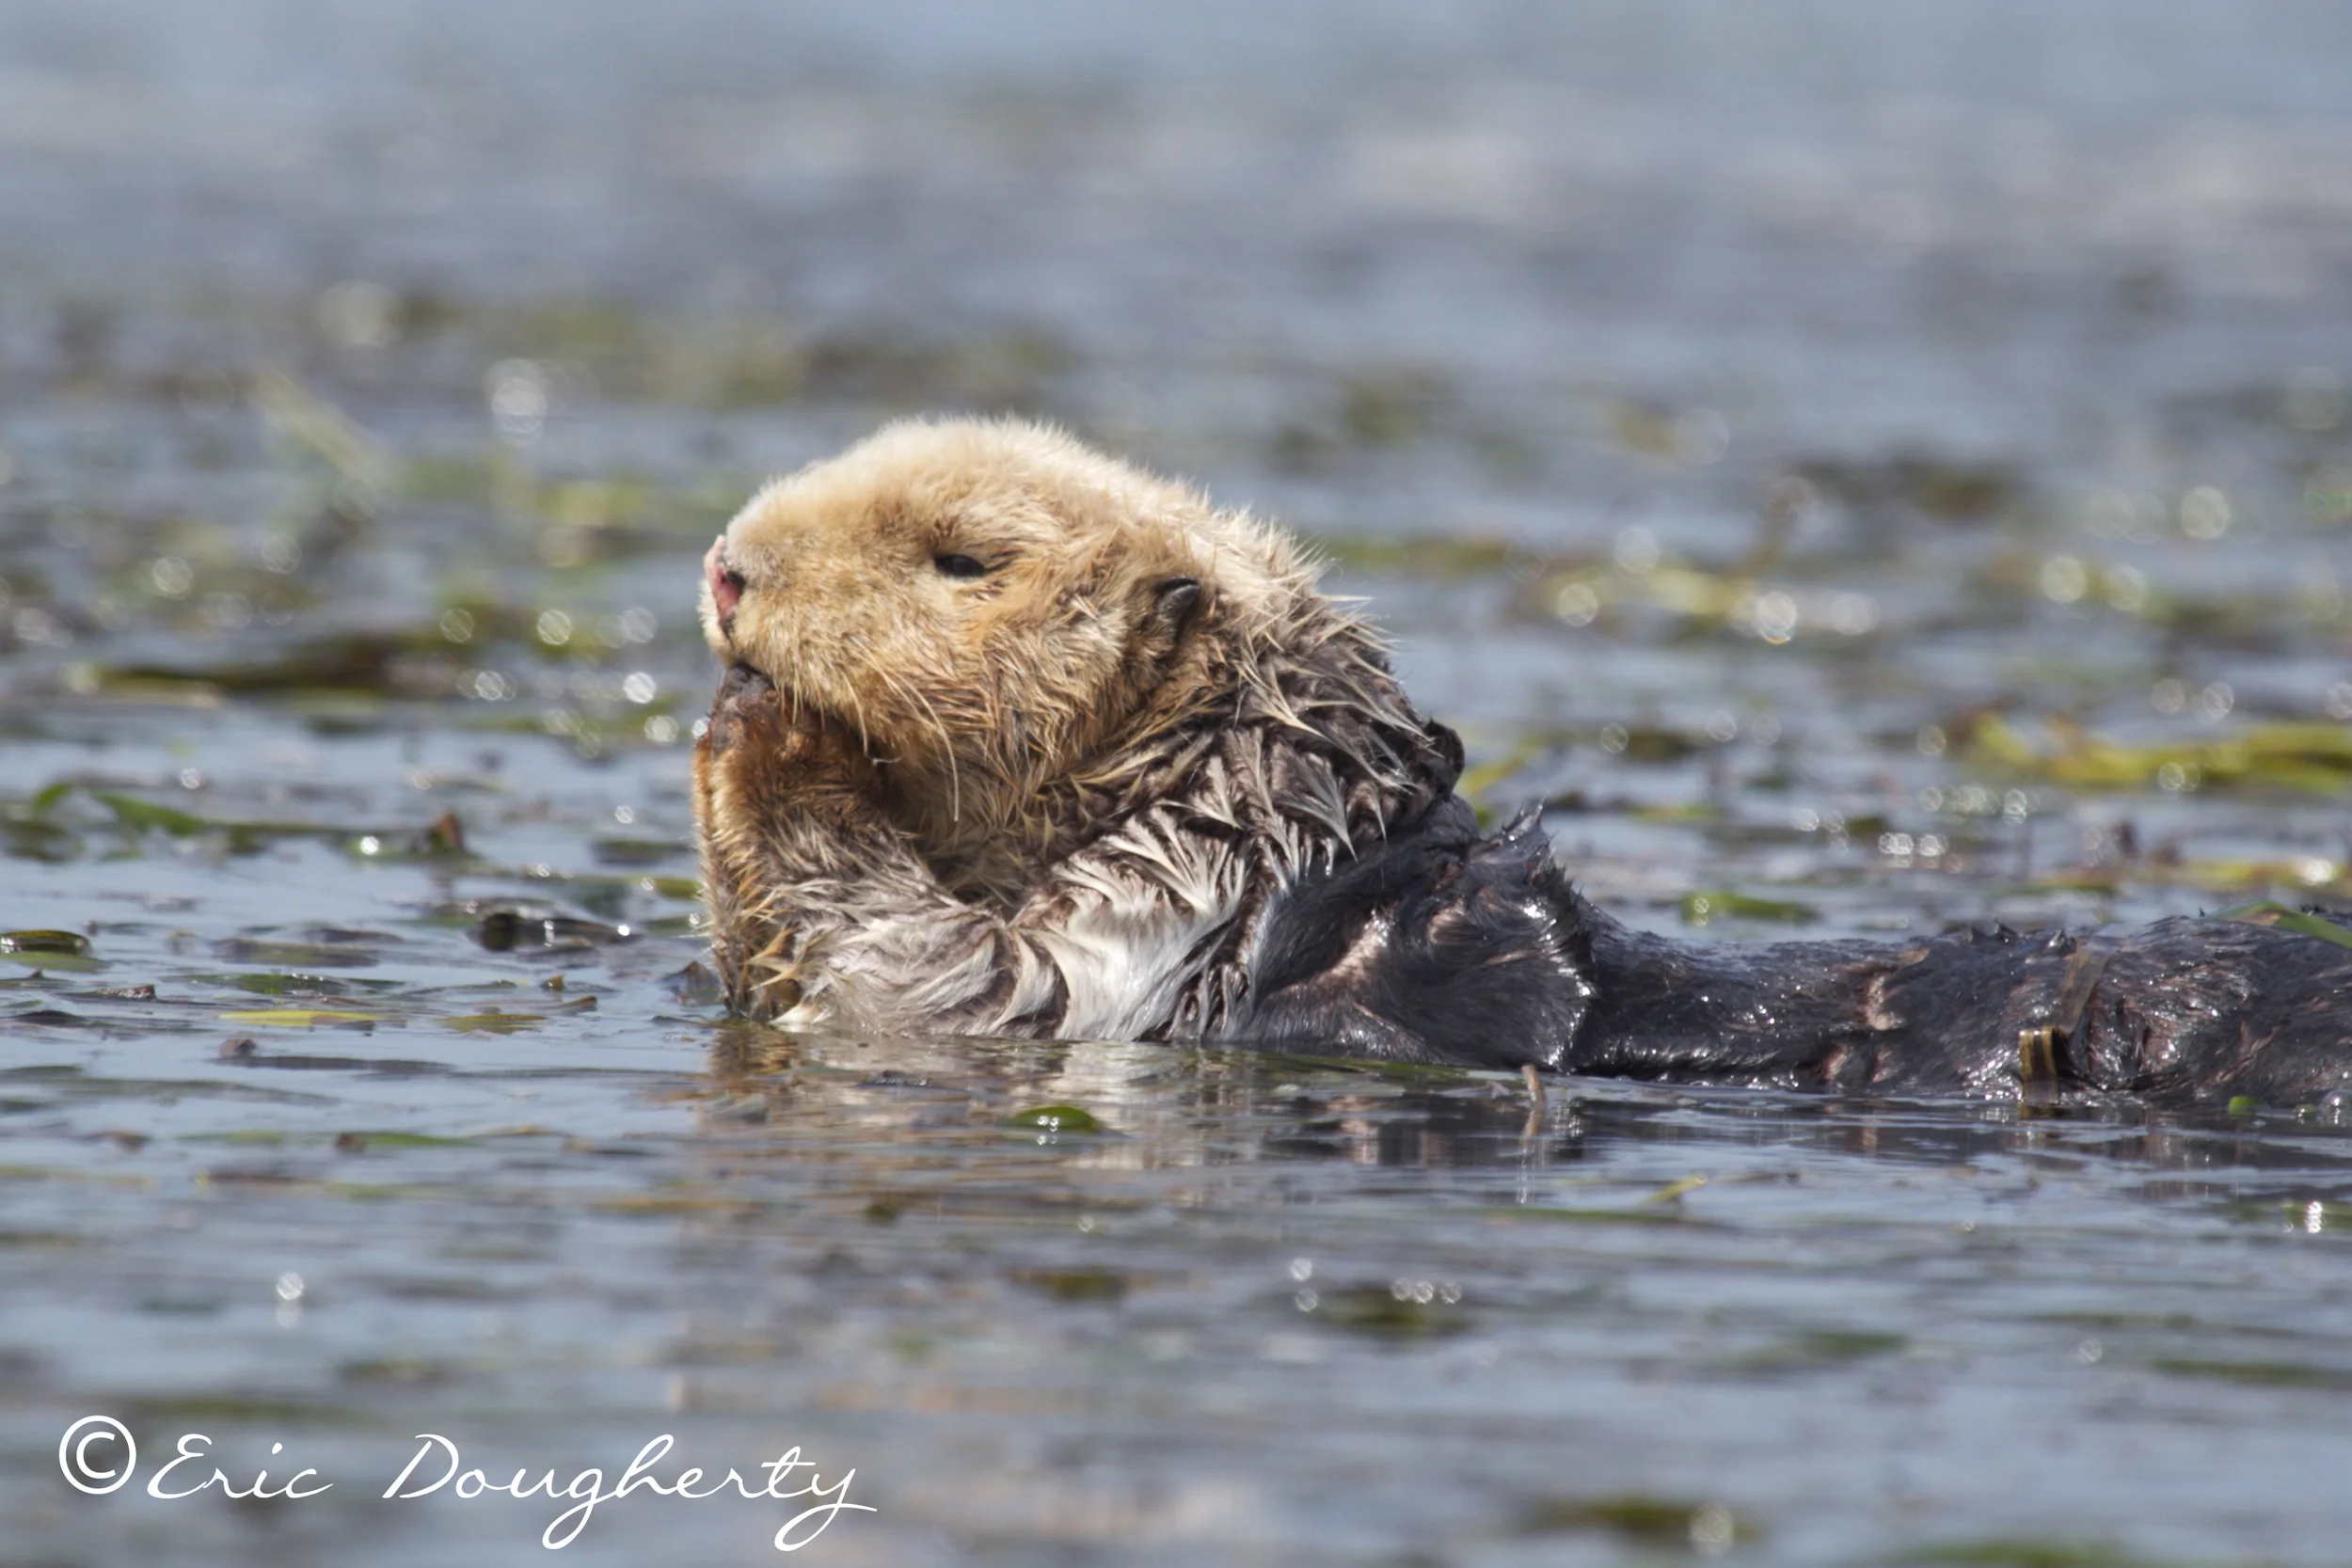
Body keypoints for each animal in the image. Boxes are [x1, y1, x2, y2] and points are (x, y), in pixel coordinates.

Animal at [692, 418, 2352, 1108]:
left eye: (963, 559)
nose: (725, 571)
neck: (1271, 798)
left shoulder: (1156, 933)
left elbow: (947, 981)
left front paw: (769, 734)